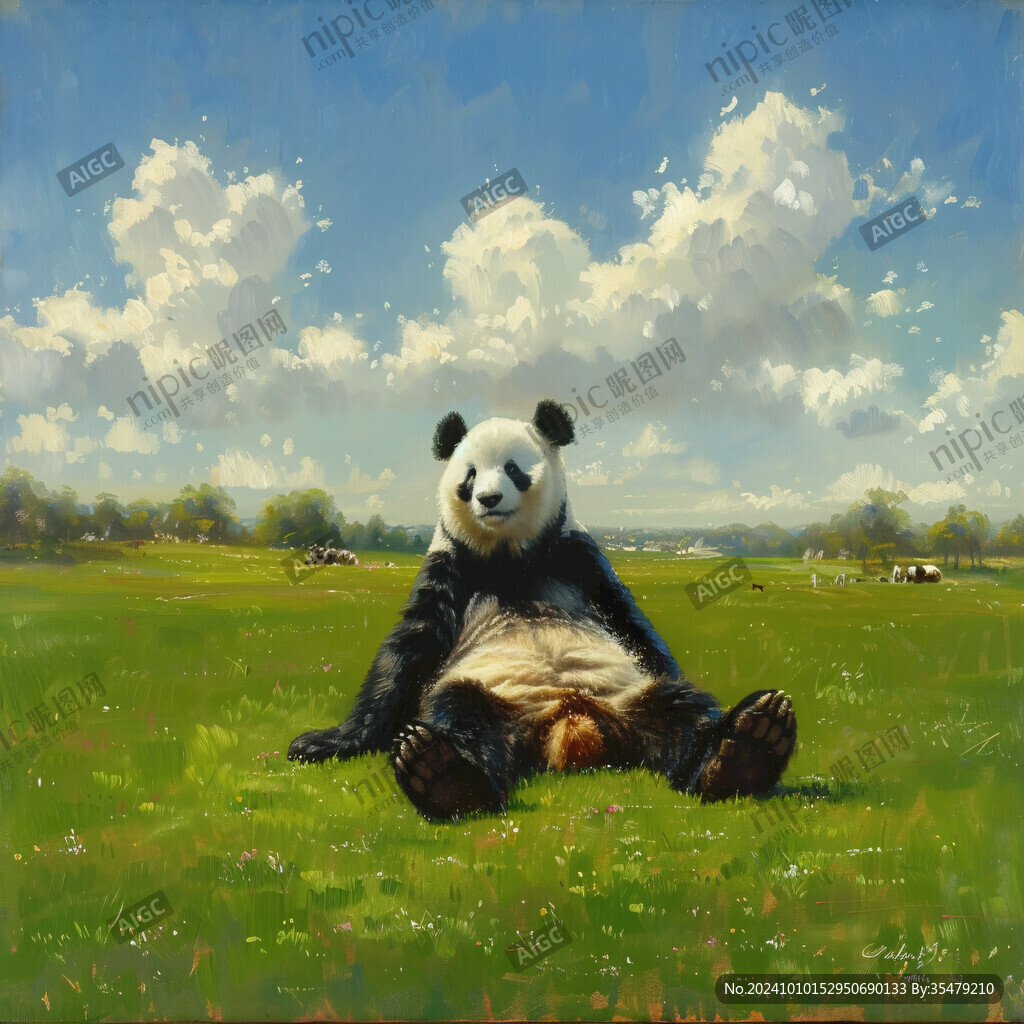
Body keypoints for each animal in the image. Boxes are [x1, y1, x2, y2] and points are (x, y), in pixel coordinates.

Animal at [288, 399, 796, 820]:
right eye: (470, 475)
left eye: (513, 469)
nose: (489, 499)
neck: (511, 557)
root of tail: (572, 729)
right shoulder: (452, 565)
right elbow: (408, 648)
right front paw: (327, 741)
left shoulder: (576, 557)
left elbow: (631, 623)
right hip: (497, 701)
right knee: (462, 712)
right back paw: (440, 773)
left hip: (629, 696)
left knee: (680, 709)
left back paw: (746, 746)